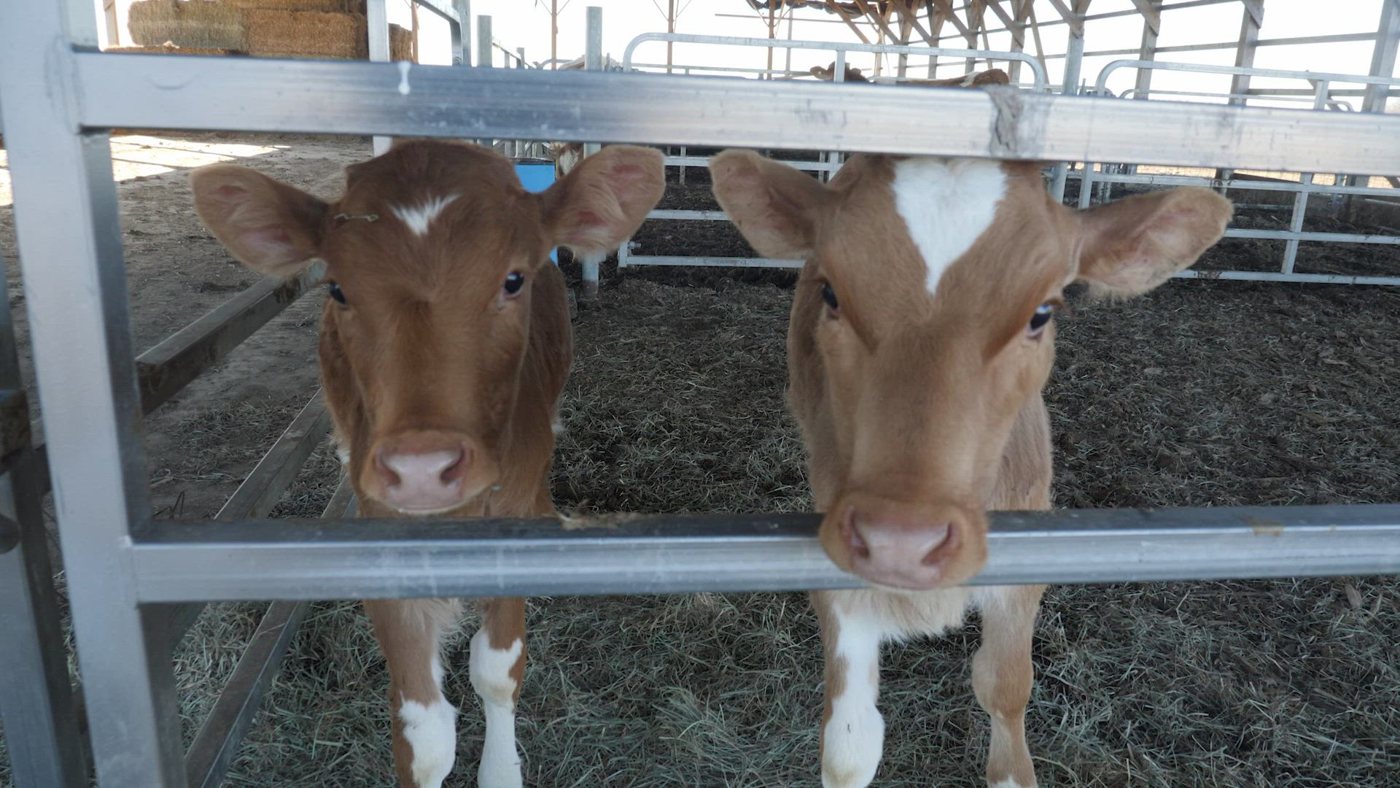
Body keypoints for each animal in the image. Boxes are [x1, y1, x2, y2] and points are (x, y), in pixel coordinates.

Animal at [191, 140, 665, 788]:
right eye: (337, 288)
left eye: (513, 278)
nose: (421, 468)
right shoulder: (384, 536)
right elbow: (425, 732)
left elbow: (497, 671)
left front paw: (500, 772)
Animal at [710, 150, 1230, 787]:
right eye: (830, 293)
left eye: (1041, 313)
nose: (901, 544)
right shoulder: (836, 561)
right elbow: (849, 747)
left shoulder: (1024, 564)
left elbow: (1004, 688)